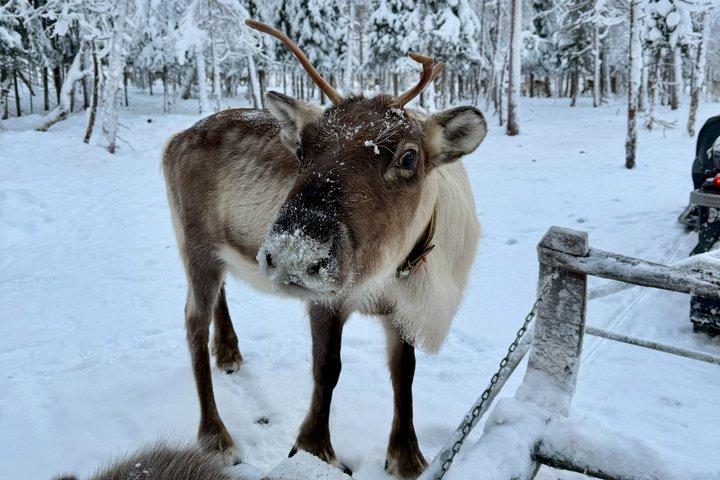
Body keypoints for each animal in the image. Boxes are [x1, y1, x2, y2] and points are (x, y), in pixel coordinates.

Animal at [162, 19, 486, 479]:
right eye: (302, 148)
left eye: (409, 158)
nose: (293, 253)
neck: (392, 270)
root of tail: (175, 139)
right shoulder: (327, 297)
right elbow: (326, 368)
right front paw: (313, 446)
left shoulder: (400, 309)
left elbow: (404, 373)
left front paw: (407, 454)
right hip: (195, 244)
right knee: (193, 322)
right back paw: (215, 436)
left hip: (219, 251)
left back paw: (228, 351)